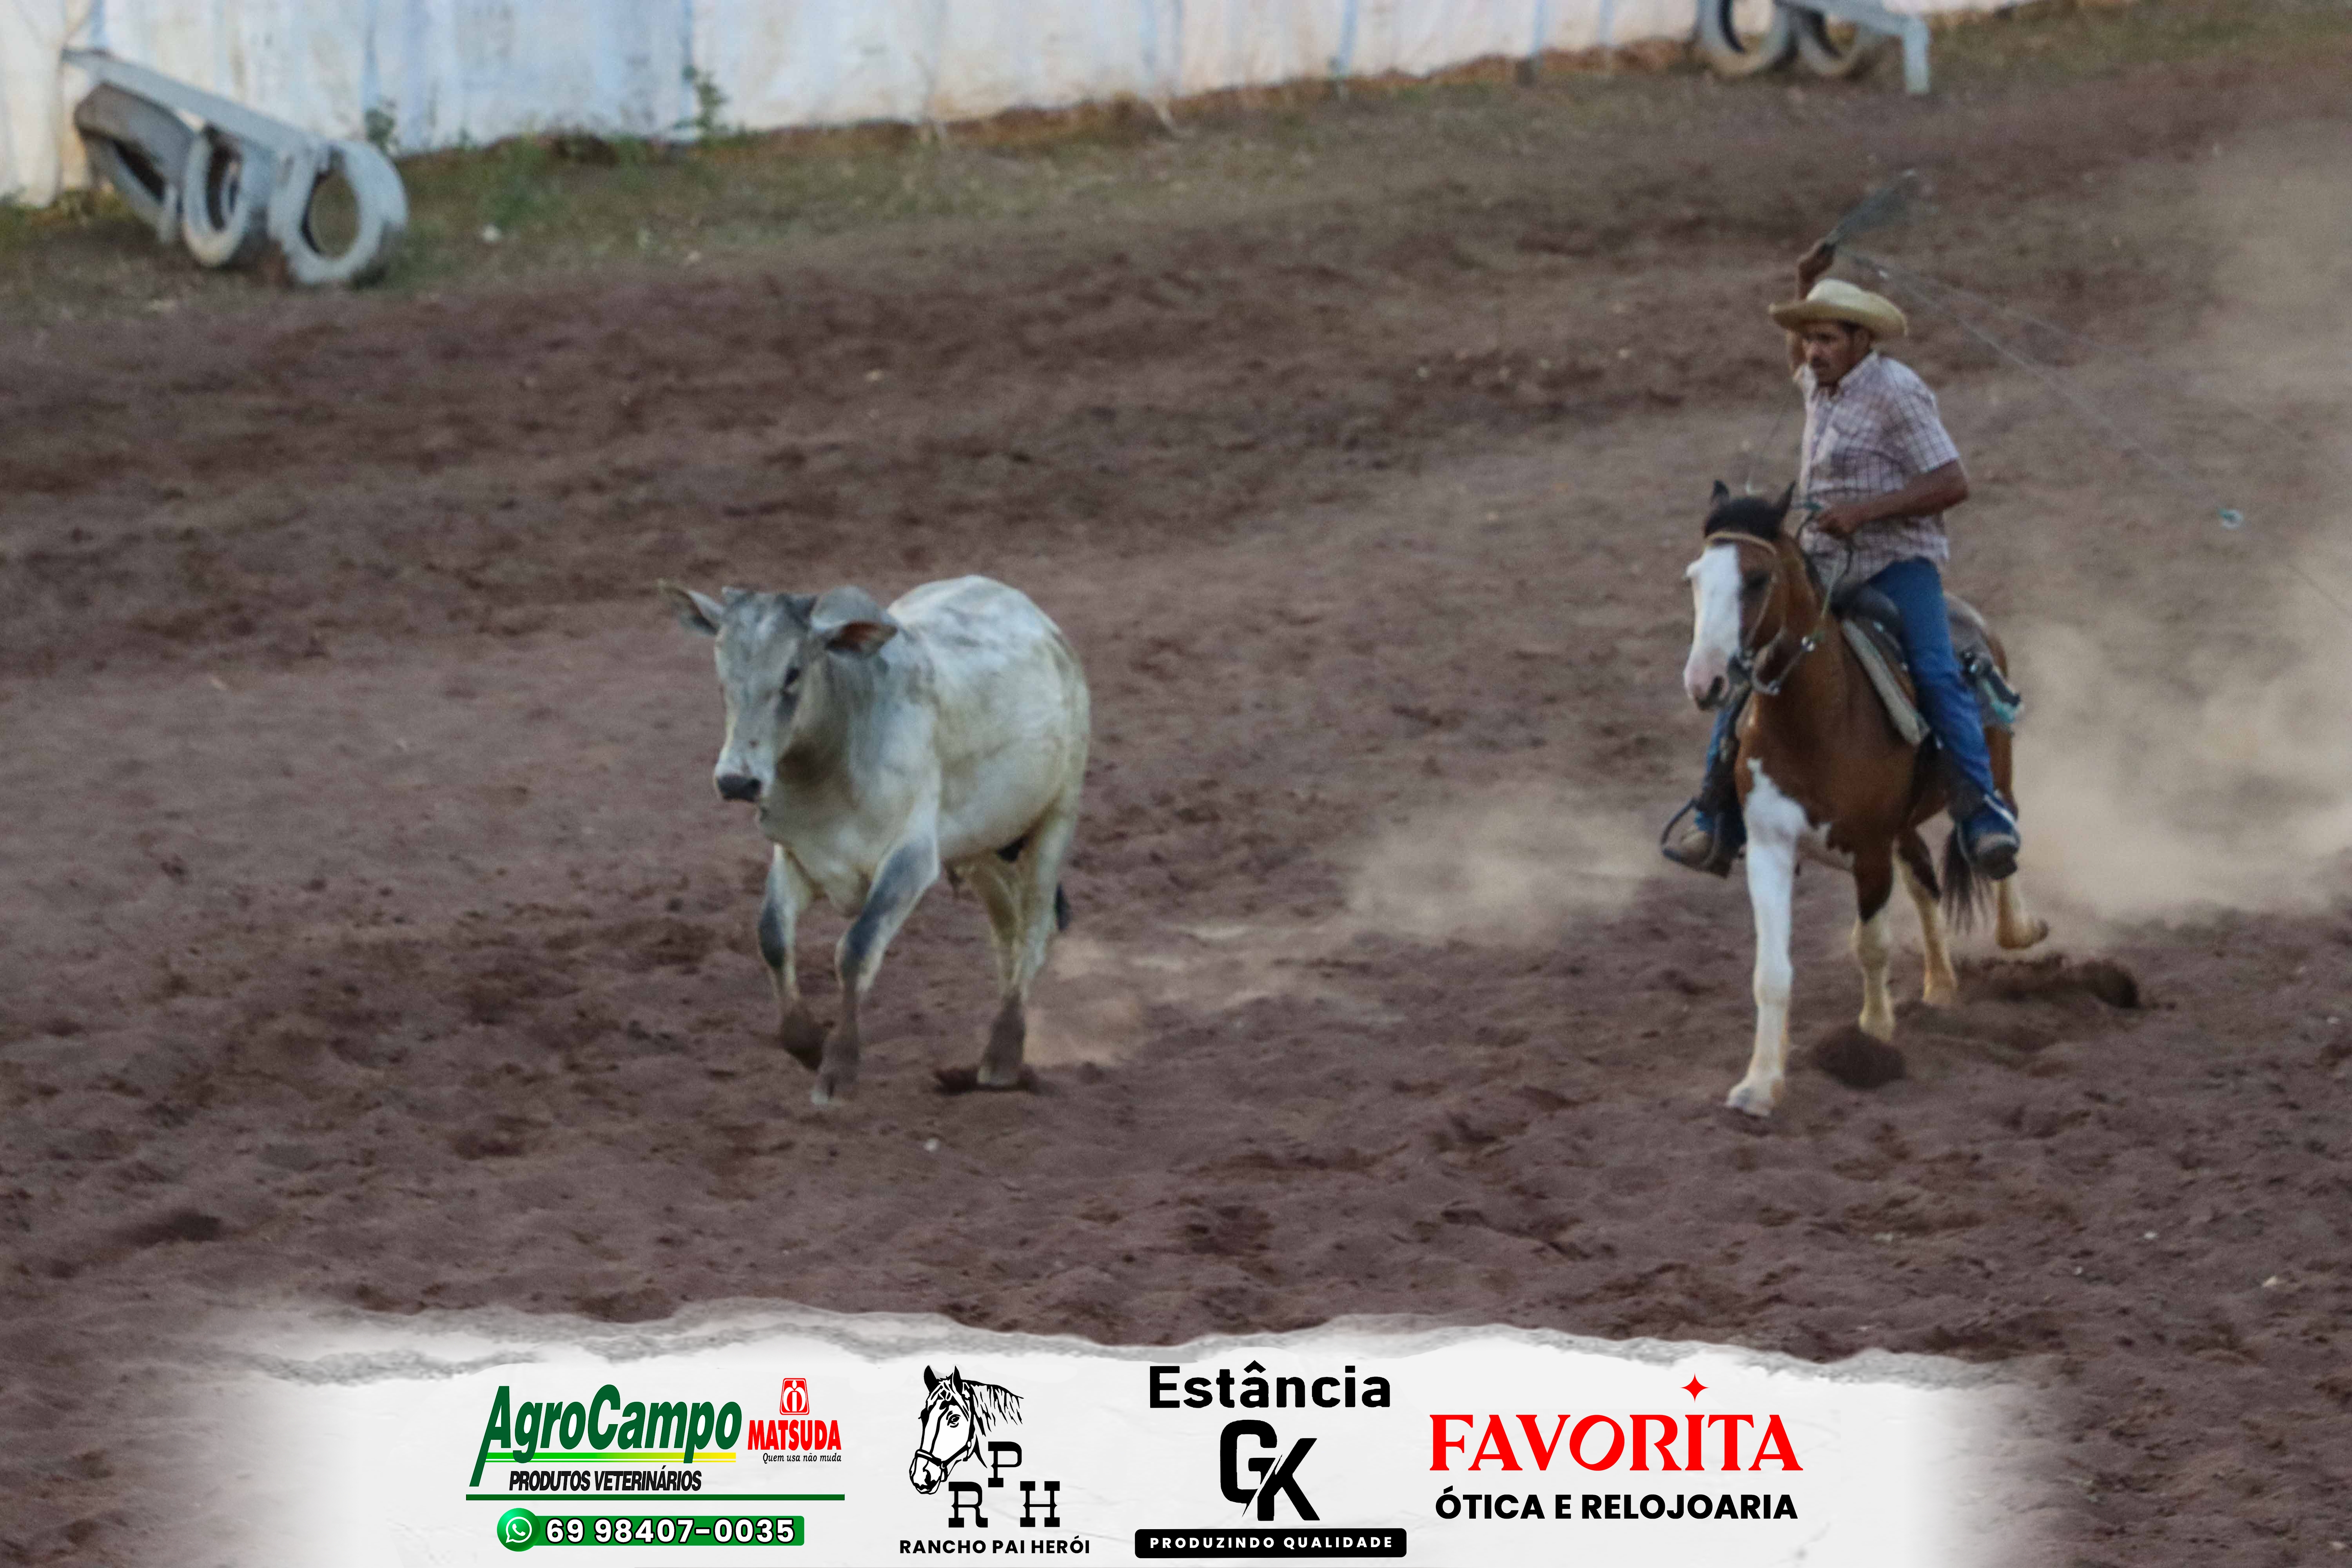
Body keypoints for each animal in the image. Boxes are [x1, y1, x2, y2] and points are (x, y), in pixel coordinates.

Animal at [659, 575, 1090, 1105]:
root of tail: (1050, 633)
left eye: (793, 672)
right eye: (723, 672)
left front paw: (838, 1068)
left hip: (1057, 817)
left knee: (1034, 929)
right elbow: (773, 937)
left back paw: (1003, 1055)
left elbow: (857, 948)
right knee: (1007, 931)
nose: (738, 780)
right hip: (982, 849)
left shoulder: (910, 861)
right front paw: (808, 1043)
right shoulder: (795, 855)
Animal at [1680, 484, 2049, 1118]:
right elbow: (1771, 971)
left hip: (1995, 770)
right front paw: (1760, 1083)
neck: (1815, 721)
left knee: (2001, 835)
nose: (1706, 683)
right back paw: (1940, 984)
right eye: (1696, 577)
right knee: (1926, 878)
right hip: (1903, 826)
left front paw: (1874, 1034)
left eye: (1756, 578)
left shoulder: (1871, 848)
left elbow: (1870, 944)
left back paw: (2018, 926)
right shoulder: (1769, 847)